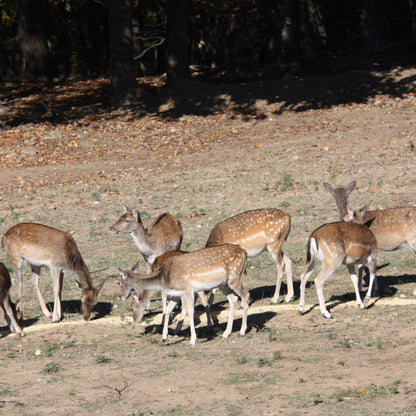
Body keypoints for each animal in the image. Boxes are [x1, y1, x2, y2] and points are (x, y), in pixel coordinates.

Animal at [117, 244, 249, 344]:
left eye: (132, 308)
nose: (121, 297)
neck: (164, 278)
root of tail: (244, 252)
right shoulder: (176, 294)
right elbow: (168, 310)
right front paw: (164, 337)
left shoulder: (188, 290)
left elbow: (190, 312)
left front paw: (192, 340)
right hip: (223, 284)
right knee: (233, 299)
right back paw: (225, 334)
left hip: (234, 277)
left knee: (245, 295)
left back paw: (242, 332)